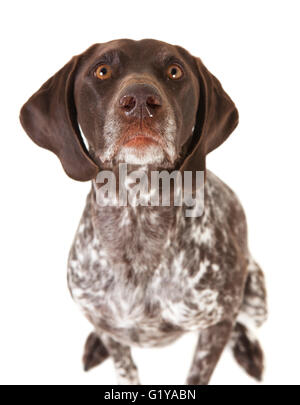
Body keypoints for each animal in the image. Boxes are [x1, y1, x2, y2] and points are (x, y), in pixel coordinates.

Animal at [19, 39, 268, 384]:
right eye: (102, 70)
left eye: (175, 71)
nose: (140, 102)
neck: (137, 216)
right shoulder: (106, 321)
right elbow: (125, 365)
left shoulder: (217, 323)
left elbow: (201, 368)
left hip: (256, 293)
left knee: (244, 323)